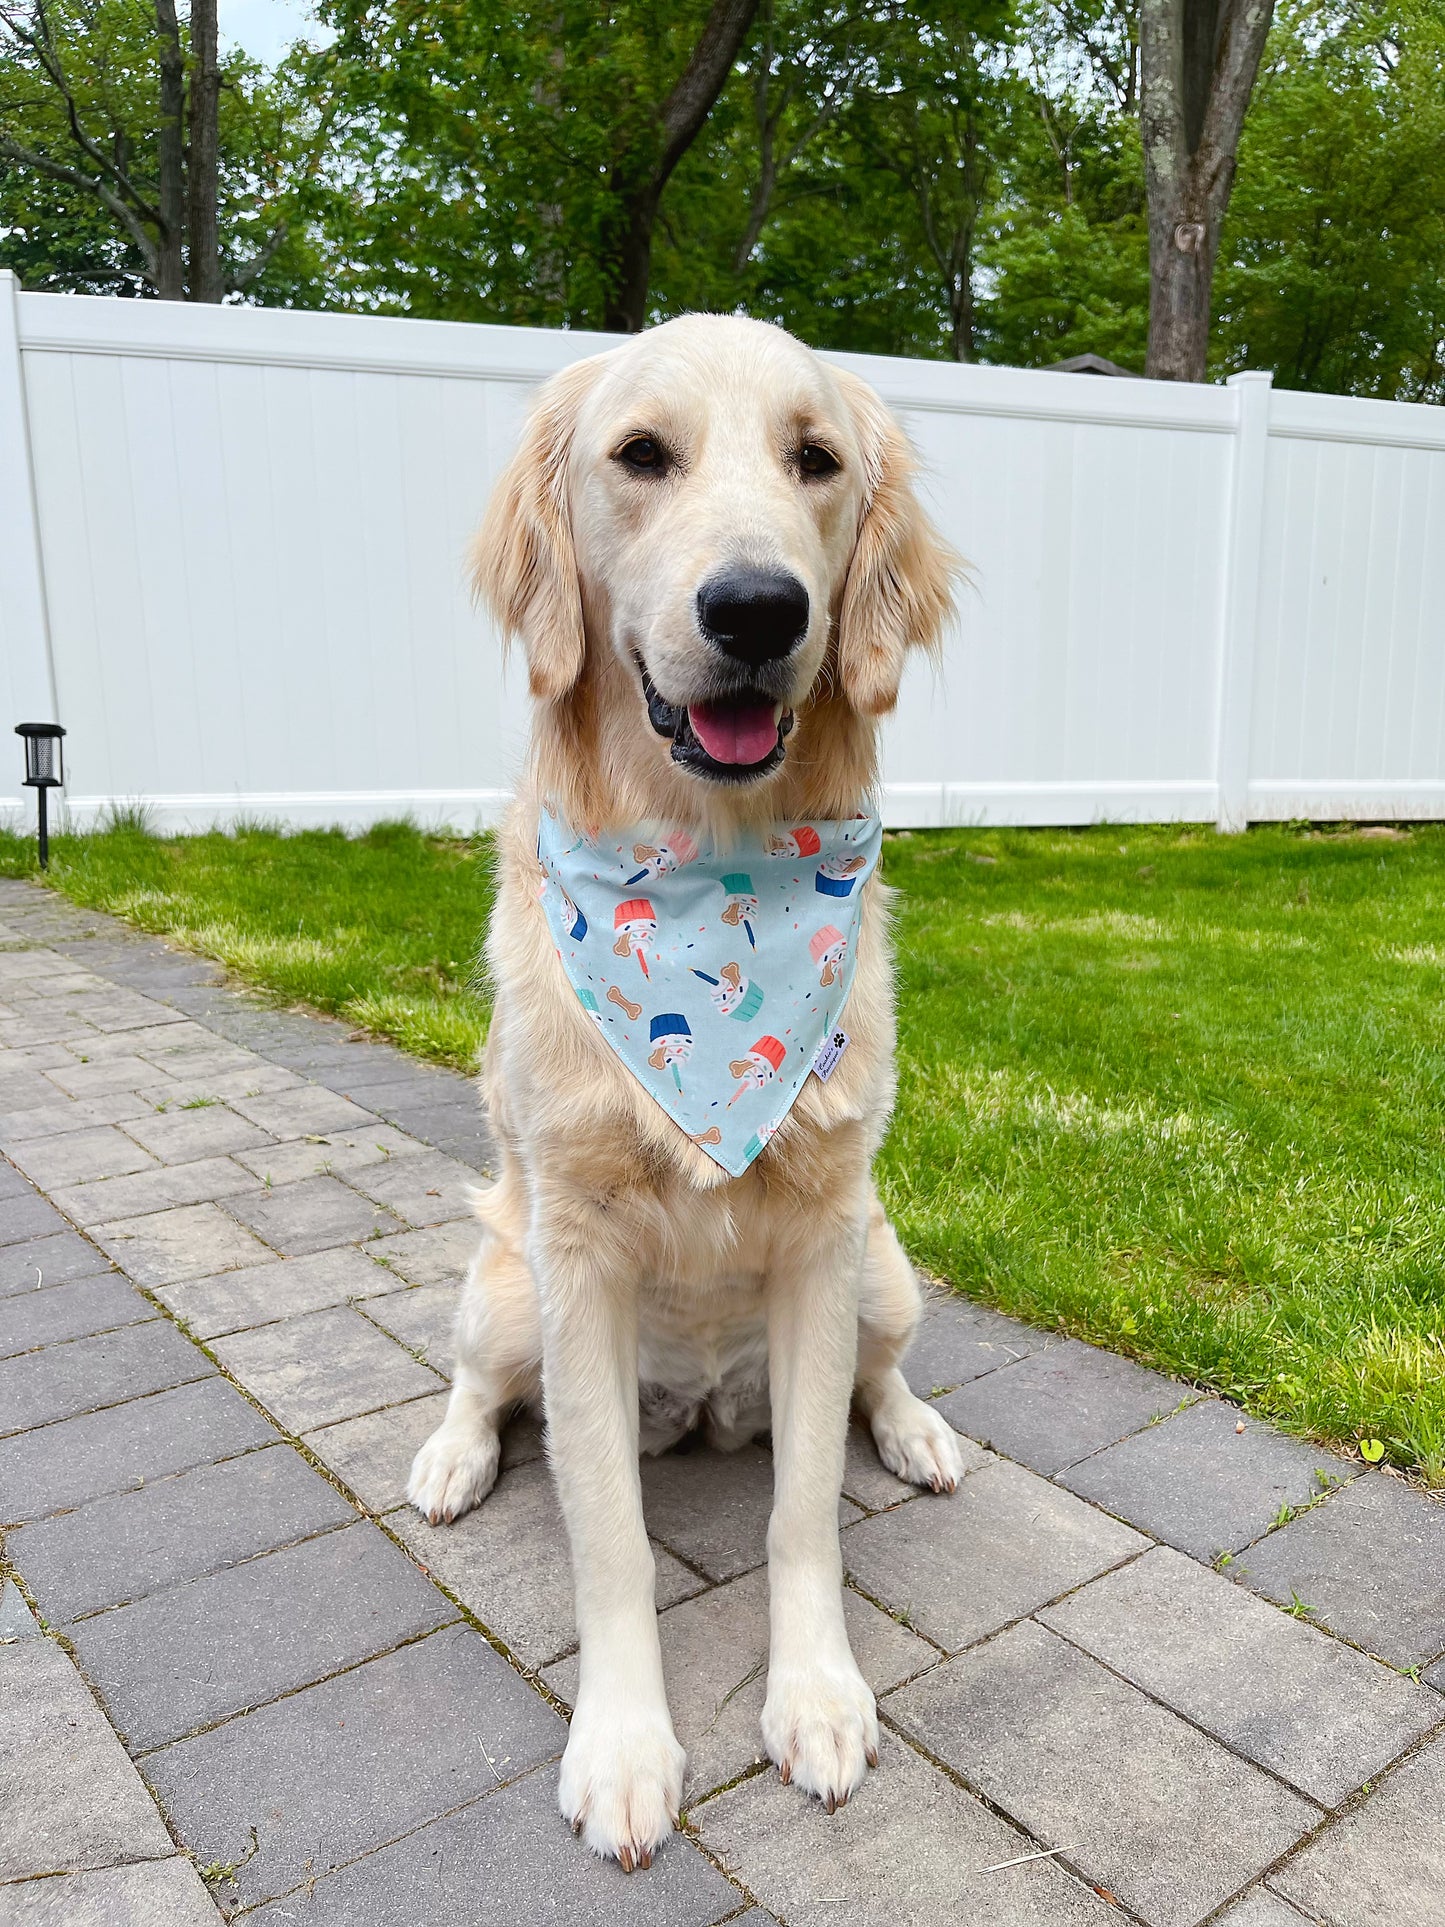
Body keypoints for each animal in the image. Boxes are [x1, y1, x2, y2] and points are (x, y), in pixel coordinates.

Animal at [410, 312, 963, 1865]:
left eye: (815, 460)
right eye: (641, 454)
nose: (759, 610)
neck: (711, 871)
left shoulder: (826, 1240)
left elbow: (803, 1515)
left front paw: (818, 1696)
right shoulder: (580, 1257)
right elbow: (604, 1530)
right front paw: (621, 1748)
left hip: (885, 1269)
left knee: (873, 1382)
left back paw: (915, 1429)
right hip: (506, 1285)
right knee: (479, 1387)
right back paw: (450, 1459)